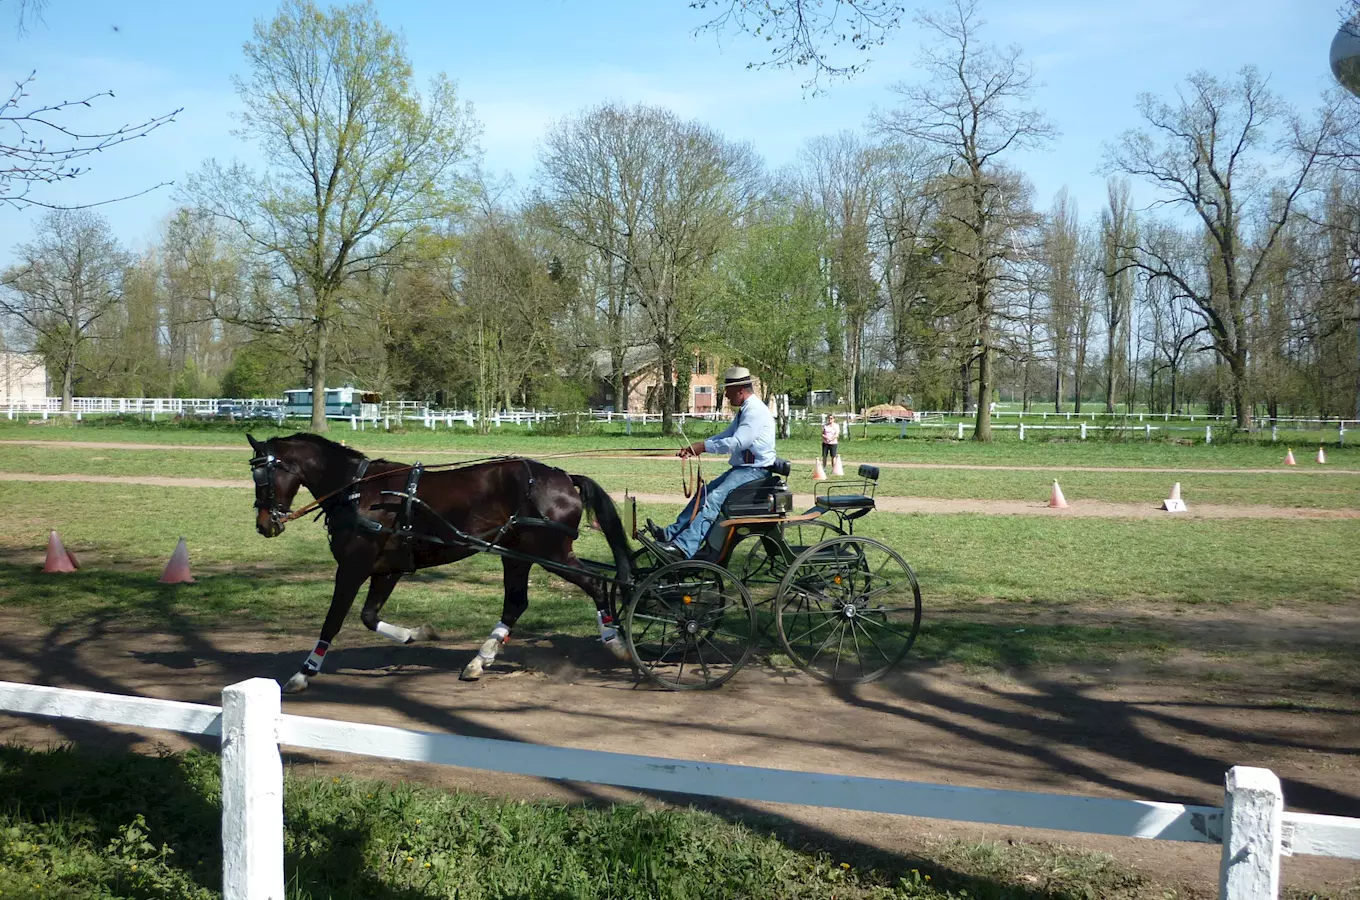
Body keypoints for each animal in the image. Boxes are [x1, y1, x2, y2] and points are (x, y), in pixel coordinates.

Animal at [248, 435, 631, 693]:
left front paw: (305, 672)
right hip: (515, 554)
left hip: (551, 553)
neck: (357, 493)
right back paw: (480, 660)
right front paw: (415, 634)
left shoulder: (354, 567)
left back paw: (616, 641)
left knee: (595, 583)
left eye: (263, 478)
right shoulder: (387, 570)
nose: (265, 524)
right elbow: (369, 617)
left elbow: (333, 621)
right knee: (516, 603)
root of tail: (565, 478)